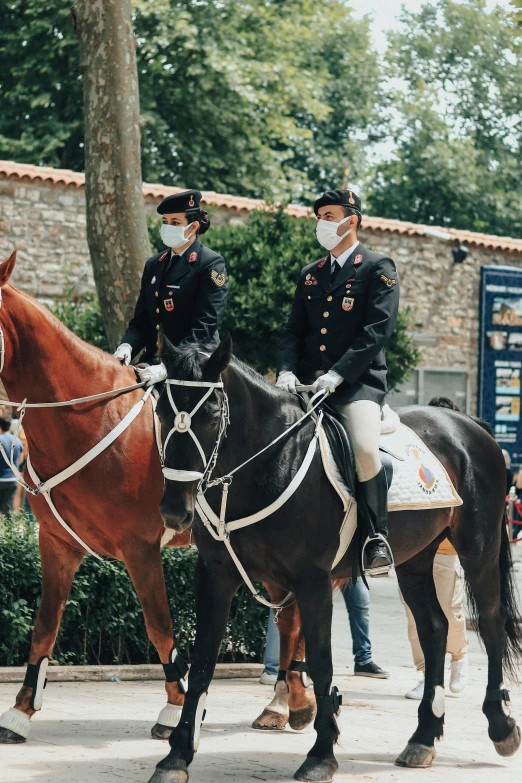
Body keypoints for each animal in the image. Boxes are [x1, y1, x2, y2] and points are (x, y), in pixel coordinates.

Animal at [150, 340, 520, 783]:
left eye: (209, 415)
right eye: (160, 412)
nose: (174, 511)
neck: (272, 460)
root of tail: (469, 424)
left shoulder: (313, 580)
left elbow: (322, 663)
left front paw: (321, 754)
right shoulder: (215, 576)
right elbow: (203, 661)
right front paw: (176, 756)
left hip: (478, 549)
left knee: (493, 623)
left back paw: (501, 726)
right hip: (415, 560)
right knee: (434, 629)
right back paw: (423, 738)